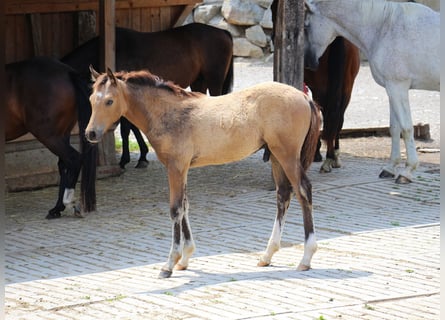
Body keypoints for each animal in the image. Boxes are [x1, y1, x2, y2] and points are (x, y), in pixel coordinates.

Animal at [5, 56, 96, 219]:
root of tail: (68, 72)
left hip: (48, 136)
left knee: (73, 159)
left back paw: (69, 203)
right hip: (62, 134)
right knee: (64, 164)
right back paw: (57, 208)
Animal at [63, 23, 236, 169]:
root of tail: (223, 32)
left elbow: (126, 129)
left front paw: (127, 159)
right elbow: (133, 127)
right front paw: (142, 155)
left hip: (214, 80)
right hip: (199, 82)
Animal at [84, 67, 320, 278]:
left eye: (109, 101)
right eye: (91, 100)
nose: (90, 133)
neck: (169, 113)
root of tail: (302, 96)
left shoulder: (176, 167)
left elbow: (176, 209)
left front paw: (169, 264)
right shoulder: (182, 168)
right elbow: (185, 205)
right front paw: (185, 258)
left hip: (287, 156)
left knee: (303, 191)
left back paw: (306, 258)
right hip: (276, 157)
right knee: (283, 195)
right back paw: (267, 256)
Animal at [268, 0, 360, 172]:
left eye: (273, 9)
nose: (273, 36)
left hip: (322, 86)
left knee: (327, 111)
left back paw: (328, 157)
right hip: (347, 86)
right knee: (338, 114)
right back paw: (333, 155)